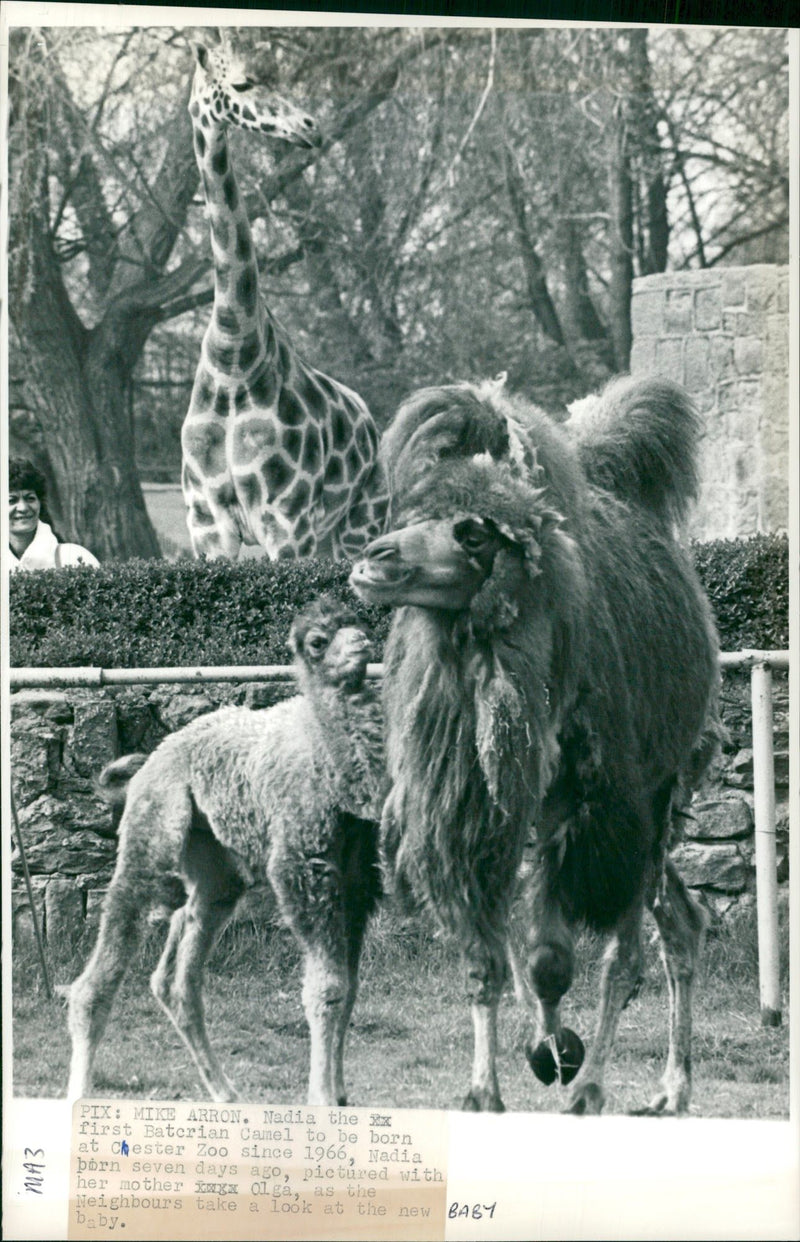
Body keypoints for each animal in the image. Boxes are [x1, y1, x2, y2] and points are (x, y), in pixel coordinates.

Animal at [65, 593, 385, 1107]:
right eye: (318, 641)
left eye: (359, 623)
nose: (361, 643)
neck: (332, 765)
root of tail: (147, 765)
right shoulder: (303, 868)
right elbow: (327, 989)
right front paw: (321, 1100)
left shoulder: (357, 881)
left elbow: (350, 987)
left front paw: (339, 1096)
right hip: (154, 827)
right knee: (116, 938)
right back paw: (79, 1090)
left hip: (215, 864)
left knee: (179, 971)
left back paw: (225, 1092)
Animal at [183, 35, 390, 558]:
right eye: (242, 83)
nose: (310, 128)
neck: (233, 355)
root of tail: (372, 422)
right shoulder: (206, 524)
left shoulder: (287, 520)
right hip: (329, 534)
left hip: (362, 522)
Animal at [350, 370, 720, 1117]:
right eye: (415, 512)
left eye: (473, 534)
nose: (375, 559)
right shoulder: (468, 812)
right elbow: (488, 955)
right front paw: (488, 1086)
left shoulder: (591, 808)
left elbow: (562, 960)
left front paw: (573, 1071)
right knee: (682, 918)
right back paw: (665, 1086)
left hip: (654, 798)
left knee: (640, 943)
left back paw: (637, 1085)